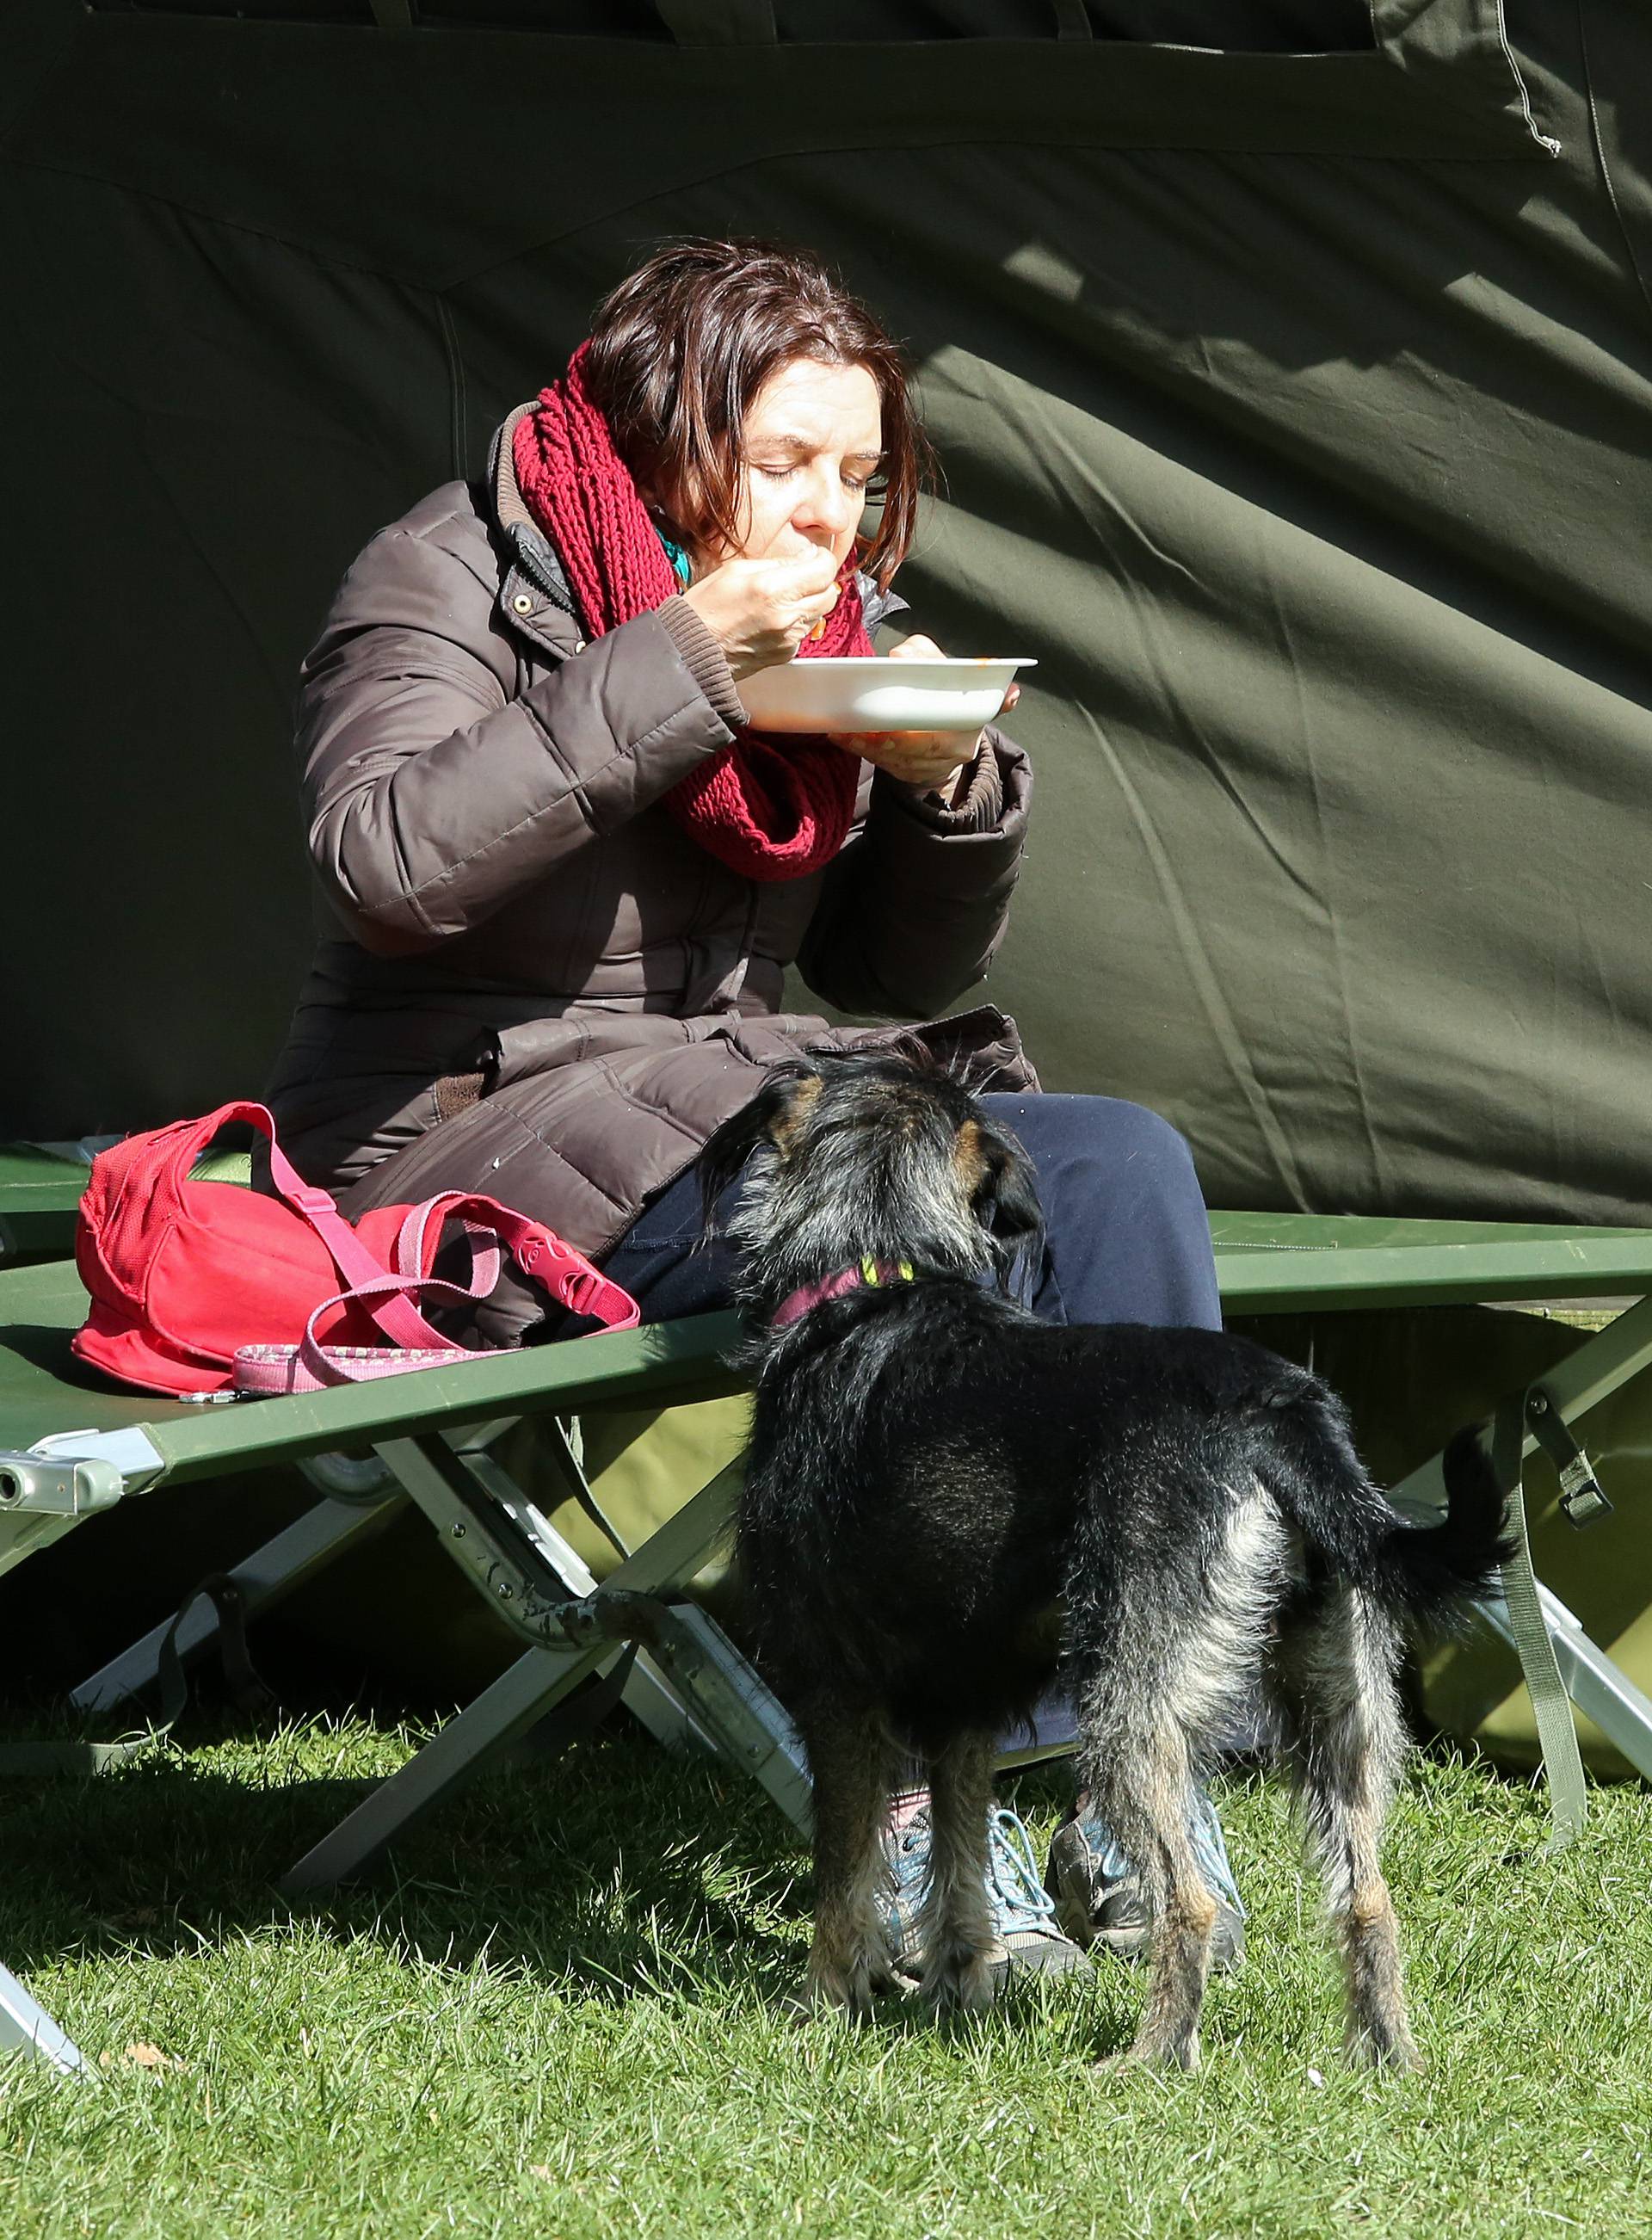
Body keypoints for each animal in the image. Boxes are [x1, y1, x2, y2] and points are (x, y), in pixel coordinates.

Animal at [693, 1057, 1504, 2070]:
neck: (872, 1269)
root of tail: (1280, 1412)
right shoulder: (963, 1710)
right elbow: (959, 1865)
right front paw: (961, 1991)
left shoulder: (836, 1692)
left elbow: (843, 1875)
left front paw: (822, 2008)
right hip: (1339, 1707)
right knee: (1368, 1897)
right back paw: (1384, 2058)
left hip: (1127, 1698)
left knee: (1189, 1900)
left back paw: (1151, 2057)